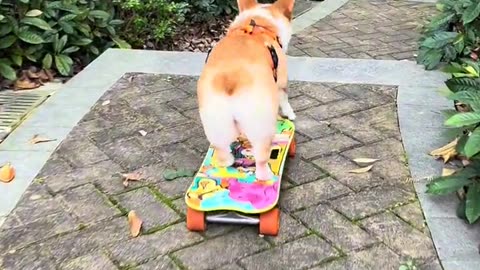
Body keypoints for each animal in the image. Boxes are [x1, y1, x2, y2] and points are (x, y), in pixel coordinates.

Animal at [196, 0, 294, 181]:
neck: (259, 25)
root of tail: (230, 78)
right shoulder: (281, 80)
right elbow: (284, 99)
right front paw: (290, 114)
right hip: (262, 125)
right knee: (261, 157)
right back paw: (266, 175)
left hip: (216, 124)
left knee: (223, 152)